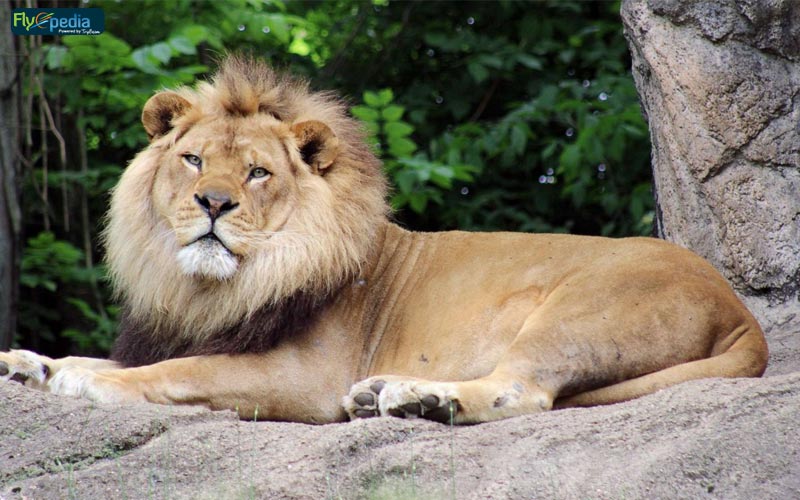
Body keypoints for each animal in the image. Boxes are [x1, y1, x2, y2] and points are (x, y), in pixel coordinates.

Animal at [0, 56, 768, 424]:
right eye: (192, 160)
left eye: (257, 172)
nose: (212, 203)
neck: (206, 286)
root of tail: (739, 310)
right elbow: (115, 356)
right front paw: (26, 362)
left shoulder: (304, 378)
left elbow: (176, 373)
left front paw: (84, 382)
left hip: (575, 312)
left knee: (520, 392)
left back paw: (422, 401)